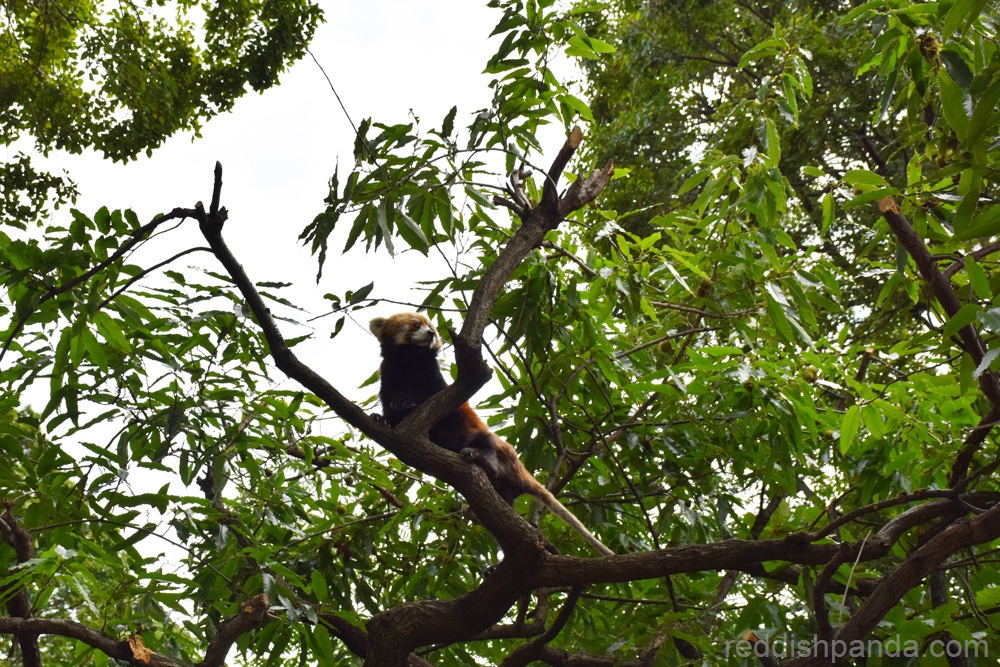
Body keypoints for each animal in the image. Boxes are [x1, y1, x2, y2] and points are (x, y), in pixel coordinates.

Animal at [372, 314, 612, 560]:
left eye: (432, 327)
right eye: (416, 325)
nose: (430, 334)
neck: (409, 363)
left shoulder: (437, 385)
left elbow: (427, 395)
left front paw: (406, 398)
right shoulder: (388, 377)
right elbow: (392, 415)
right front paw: (381, 419)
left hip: (493, 445)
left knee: (486, 443)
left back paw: (479, 457)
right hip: (504, 491)